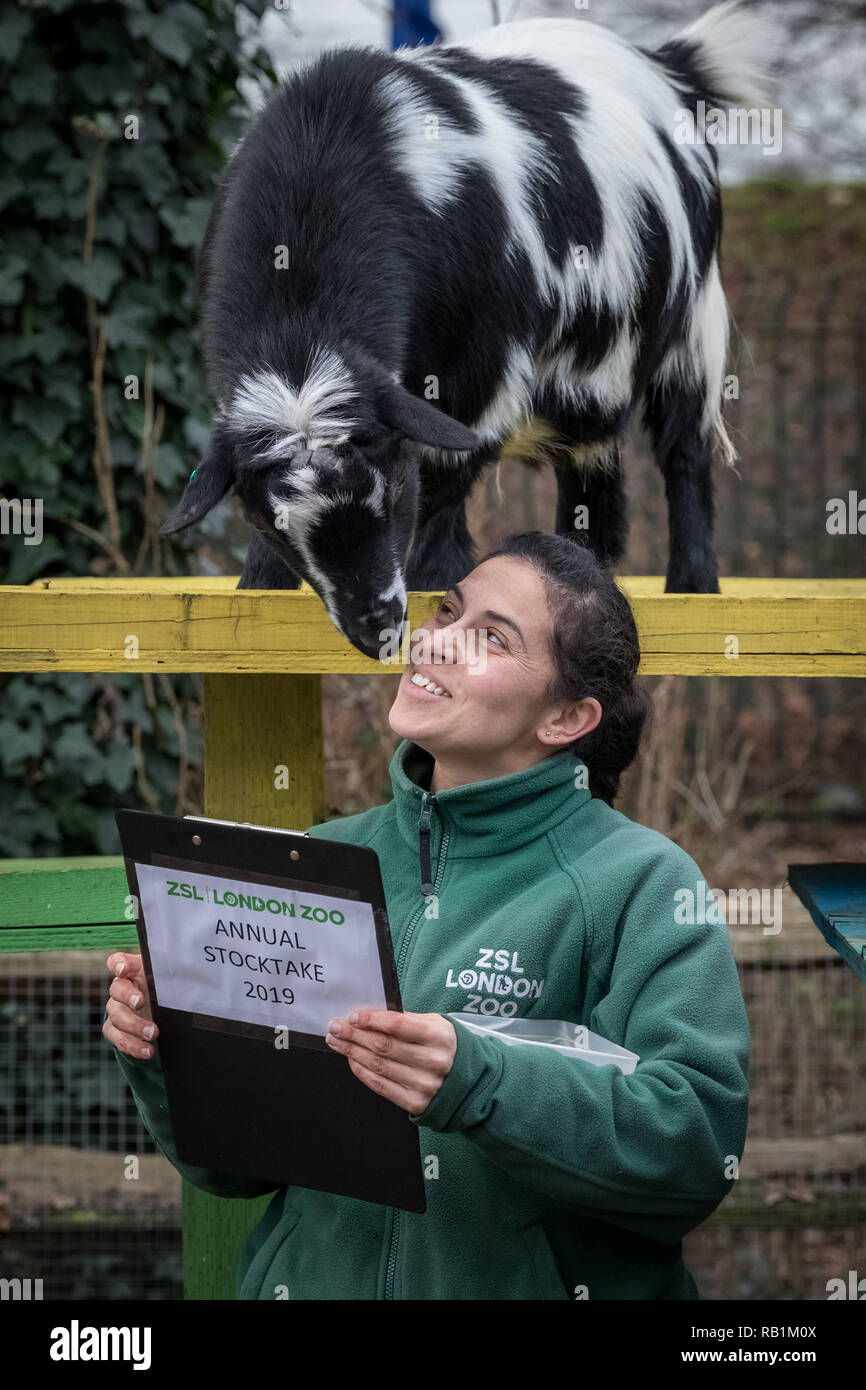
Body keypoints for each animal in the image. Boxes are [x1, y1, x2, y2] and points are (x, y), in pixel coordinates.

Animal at [161, 0, 772, 656]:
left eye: (390, 490)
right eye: (272, 522)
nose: (377, 625)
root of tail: (668, 64)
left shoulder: (480, 372)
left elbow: (446, 470)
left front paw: (441, 579)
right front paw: (257, 594)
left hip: (690, 326)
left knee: (685, 451)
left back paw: (693, 586)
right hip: (591, 379)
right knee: (593, 471)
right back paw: (588, 568)